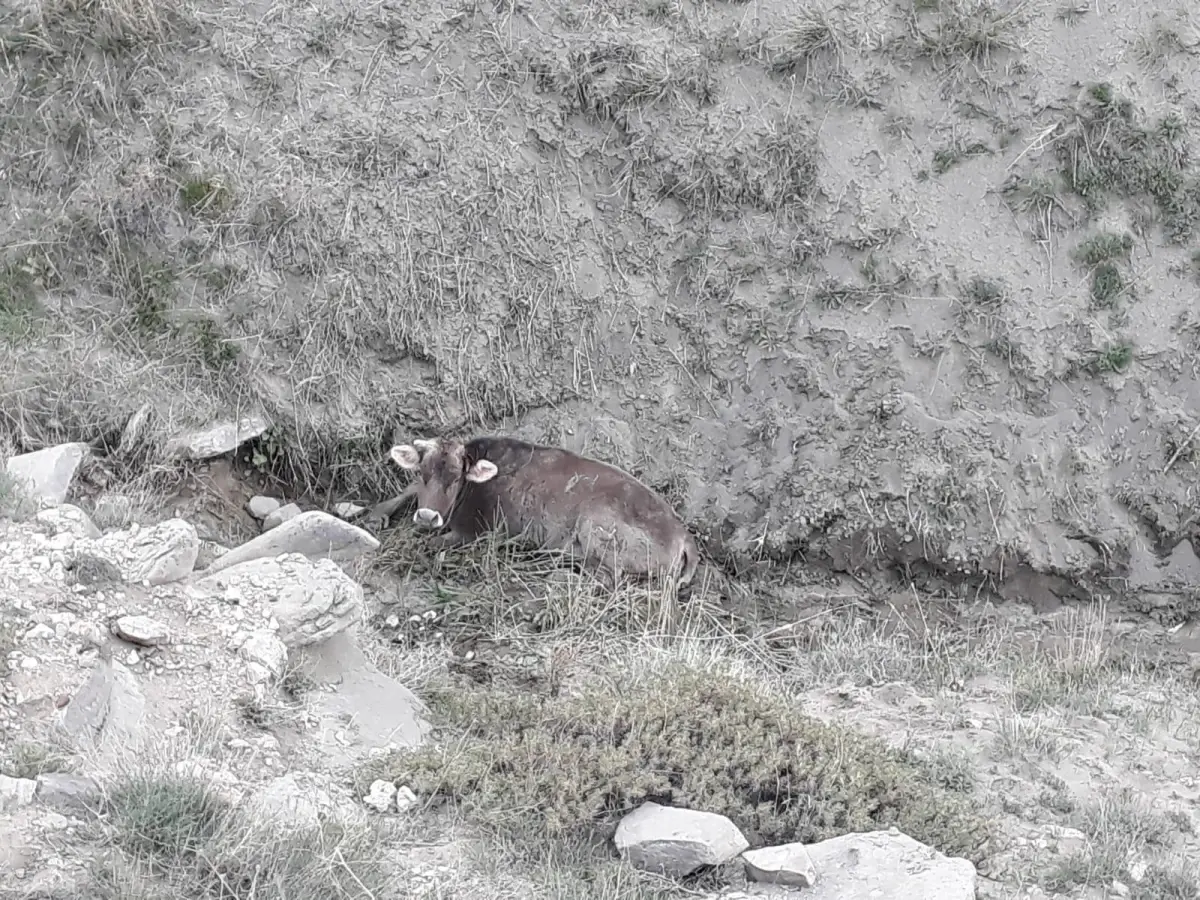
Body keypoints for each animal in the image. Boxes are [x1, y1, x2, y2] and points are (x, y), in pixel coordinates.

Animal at [388, 439, 700, 592]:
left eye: (455, 478)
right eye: (422, 472)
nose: (427, 516)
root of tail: (683, 533)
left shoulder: (475, 533)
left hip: (596, 527)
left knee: (609, 579)